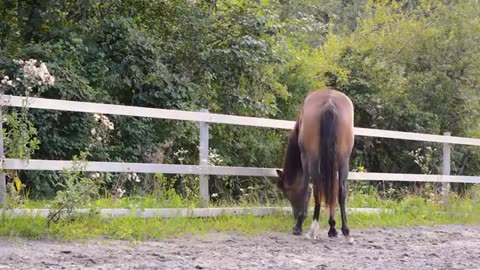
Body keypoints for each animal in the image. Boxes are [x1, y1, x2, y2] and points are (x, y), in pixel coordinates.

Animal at [276, 88, 354, 243]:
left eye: (287, 193)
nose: (295, 214)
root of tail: (329, 102)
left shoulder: (305, 158)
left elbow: (306, 187)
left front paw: (299, 225)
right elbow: (332, 190)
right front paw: (332, 228)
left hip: (312, 159)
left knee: (318, 189)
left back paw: (310, 230)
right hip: (343, 160)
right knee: (341, 191)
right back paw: (346, 231)